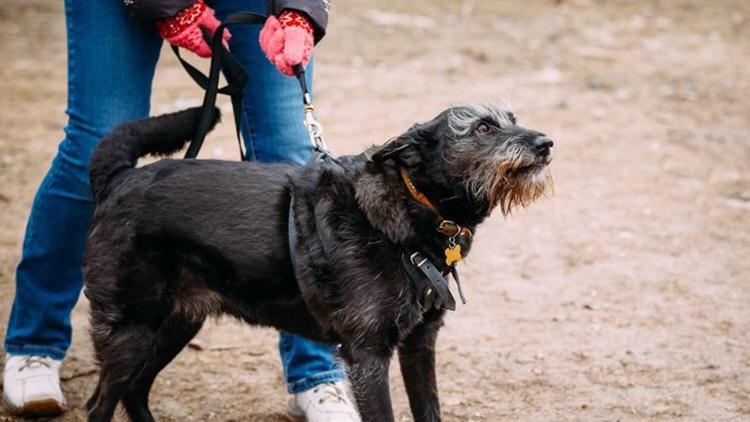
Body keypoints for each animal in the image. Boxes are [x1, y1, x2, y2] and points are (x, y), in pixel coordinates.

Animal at [82, 103, 556, 422]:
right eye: (482, 127)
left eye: (511, 118)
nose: (546, 143)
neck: (408, 210)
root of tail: (120, 178)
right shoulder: (368, 355)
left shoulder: (420, 343)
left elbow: (430, 410)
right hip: (131, 330)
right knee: (100, 403)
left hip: (175, 324)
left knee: (134, 392)